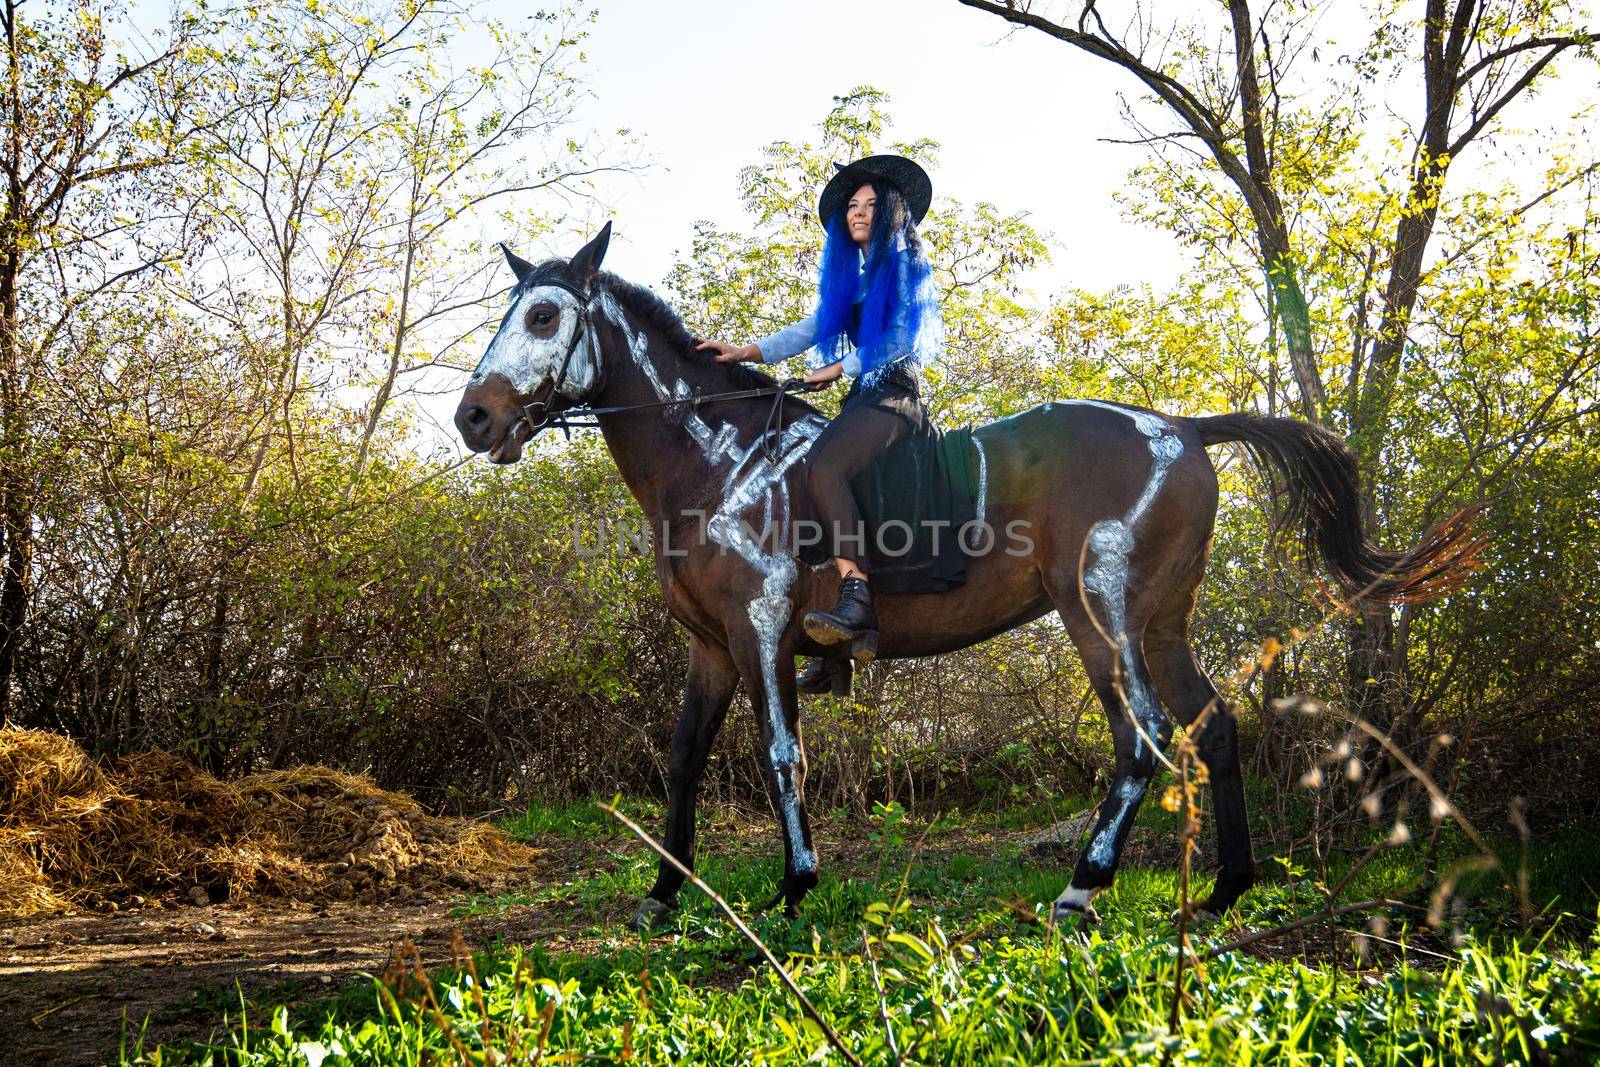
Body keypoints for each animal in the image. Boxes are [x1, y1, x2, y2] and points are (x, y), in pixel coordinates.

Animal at [451, 223, 1472, 927]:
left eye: (543, 315)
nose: (473, 417)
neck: (718, 458)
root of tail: (1181, 426)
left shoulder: (761, 627)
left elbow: (781, 751)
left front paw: (796, 887)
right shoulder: (710, 644)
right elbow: (683, 759)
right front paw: (663, 895)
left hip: (1098, 613)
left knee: (1142, 736)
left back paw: (1083, 888)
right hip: (1161, 620)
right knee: (1213, 725)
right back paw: (1225, 888)